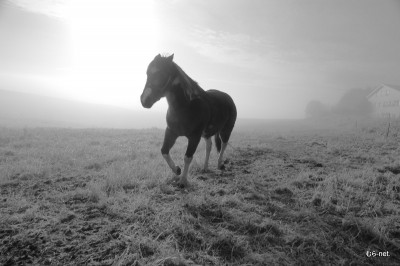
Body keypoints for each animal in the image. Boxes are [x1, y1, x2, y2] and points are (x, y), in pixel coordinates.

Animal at [140, 54, 236, 187]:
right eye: (148, 73)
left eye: (162, 73)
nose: (144, 100)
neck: (186, 106)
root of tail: (228, 98)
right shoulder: (171, 132)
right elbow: (164, 151)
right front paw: (177, 170)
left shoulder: (194, 136)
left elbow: (187, 157)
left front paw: (183, 181)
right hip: (207, 134)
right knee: (209, 146)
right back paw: (205, 167)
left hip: (226, 130)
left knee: (223, 145)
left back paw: (220, 164)